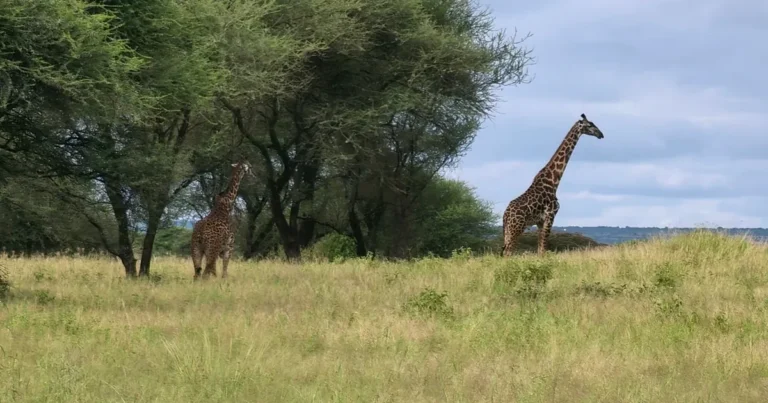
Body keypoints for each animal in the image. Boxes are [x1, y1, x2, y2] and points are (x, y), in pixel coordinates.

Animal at [501, 113, 604, 257]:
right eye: (590, 125)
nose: (601, 134)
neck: (553, 181)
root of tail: (505, 216)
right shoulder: (550, 216)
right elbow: (544, 249)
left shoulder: (540, 222)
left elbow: (540, 249)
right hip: (516, 228)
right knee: (508, 253)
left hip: (508, 231)